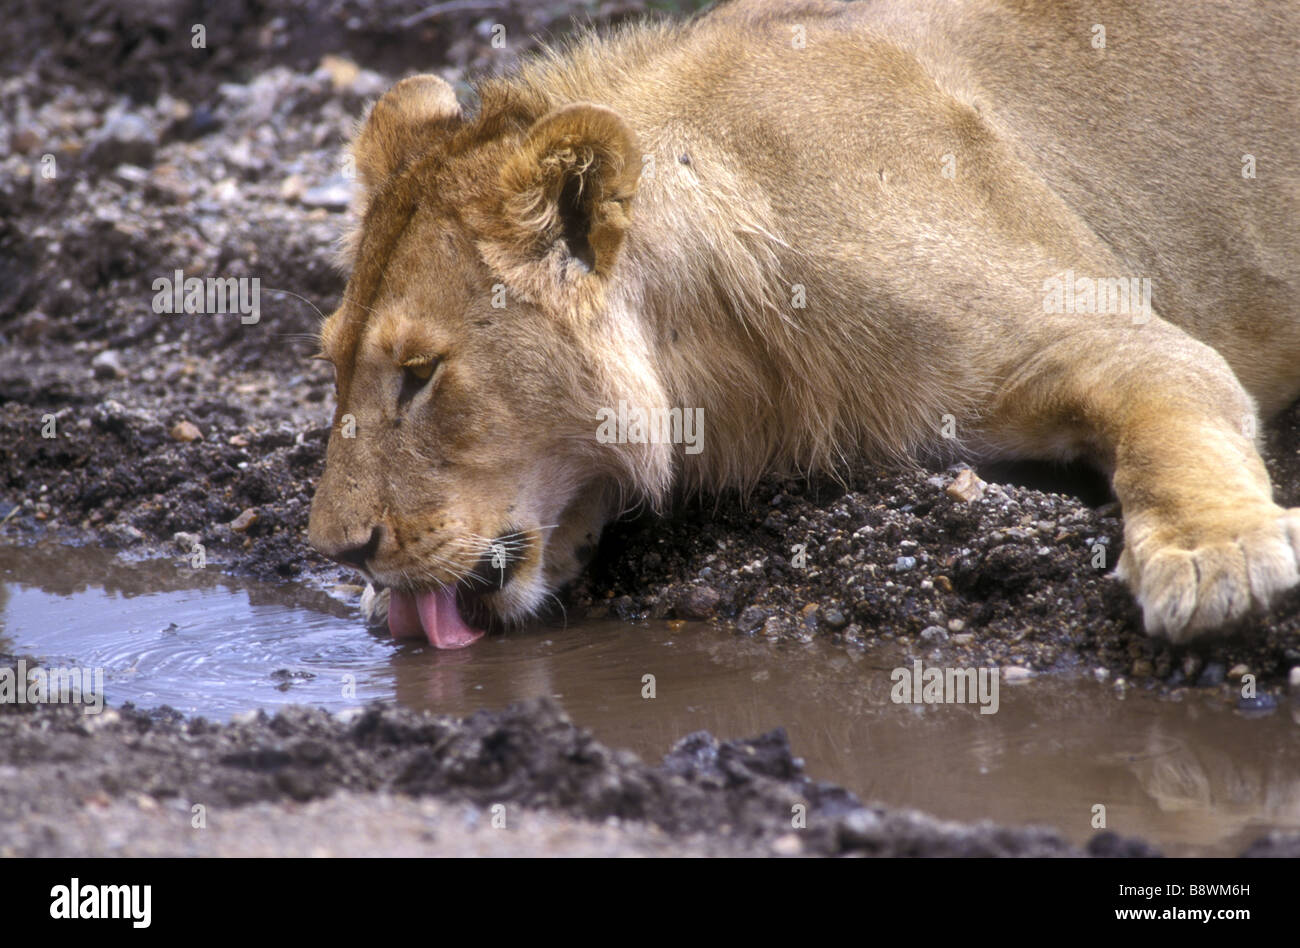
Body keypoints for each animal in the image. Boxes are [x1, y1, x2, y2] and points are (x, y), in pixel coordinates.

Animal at [306, 0, 1300, 647]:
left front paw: (1213, 554)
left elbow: (1173, 424)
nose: (338, 553)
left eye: (421, 374)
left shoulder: (1113, 331)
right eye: (334, 365)